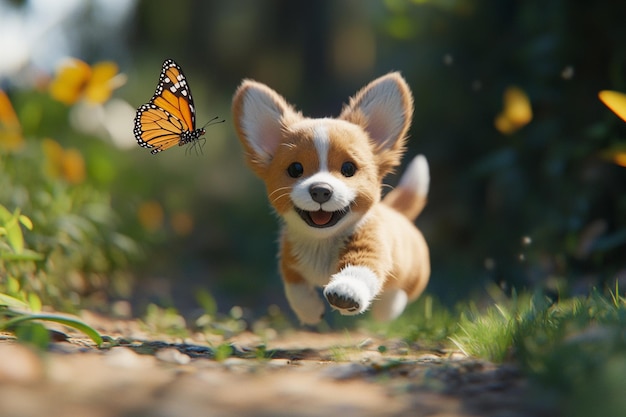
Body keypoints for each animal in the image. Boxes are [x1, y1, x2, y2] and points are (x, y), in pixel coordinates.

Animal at [230, 72, 428, 324]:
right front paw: (310, 311)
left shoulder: (369, 247)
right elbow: (295, 289)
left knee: (399, 292)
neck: (321, 242)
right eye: (295, 169)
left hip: (415, 273)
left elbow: (359, 270)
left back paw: (387, 308)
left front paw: (345, 293)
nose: (321, 190)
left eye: (348, 168)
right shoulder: (289, 261)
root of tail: (398, 212)